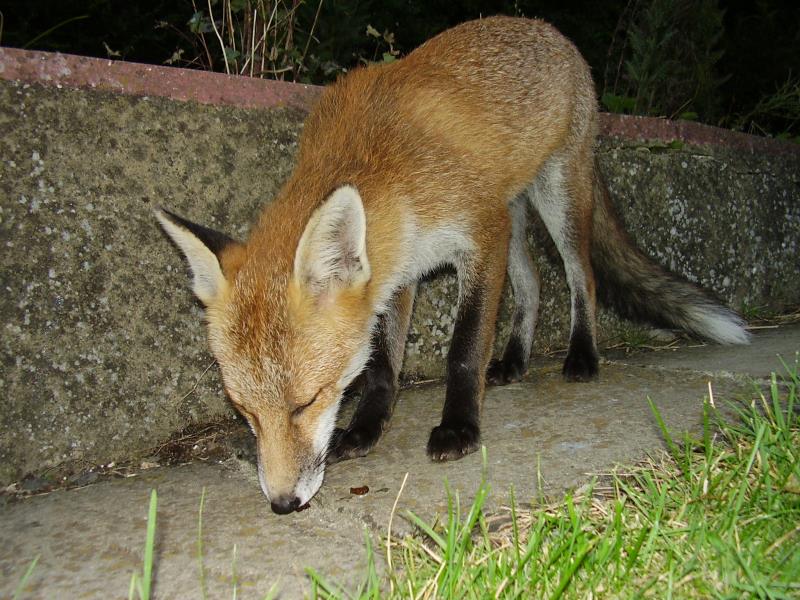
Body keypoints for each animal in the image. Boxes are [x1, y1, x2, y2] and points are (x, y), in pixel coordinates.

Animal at [155, 16, 749, 514]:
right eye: (246, 412)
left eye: (307, 402)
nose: (282, 504)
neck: (387, 167)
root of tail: (547, 29)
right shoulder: (398, 271)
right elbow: (382, 367)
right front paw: (366, 429)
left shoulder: (477, 234)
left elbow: (463, 349)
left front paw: (460, 428)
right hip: (512, 216)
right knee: (532, 282)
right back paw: (514, 360)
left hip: (553, 199)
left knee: (581, 277)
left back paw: (582, 355)